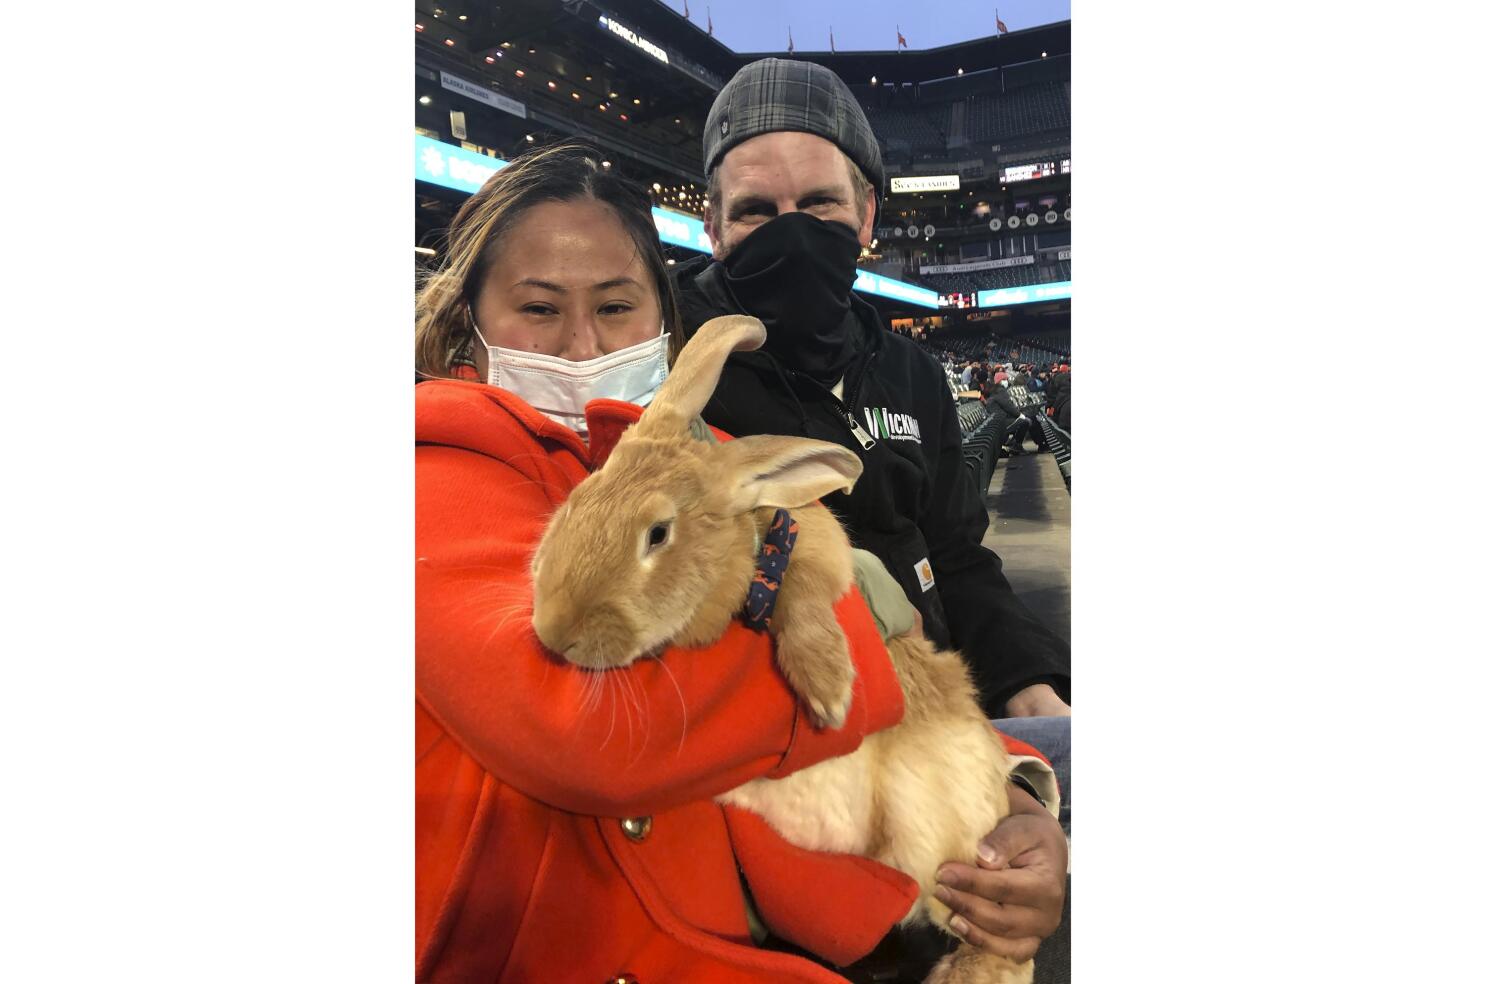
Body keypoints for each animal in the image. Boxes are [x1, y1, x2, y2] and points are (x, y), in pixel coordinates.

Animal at [534, 318, 1034, 984]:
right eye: (575, 503)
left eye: (658, 534)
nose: (552, 630)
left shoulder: (815, 553)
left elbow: (803, 592)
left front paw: (828, 690)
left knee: (995, 944)